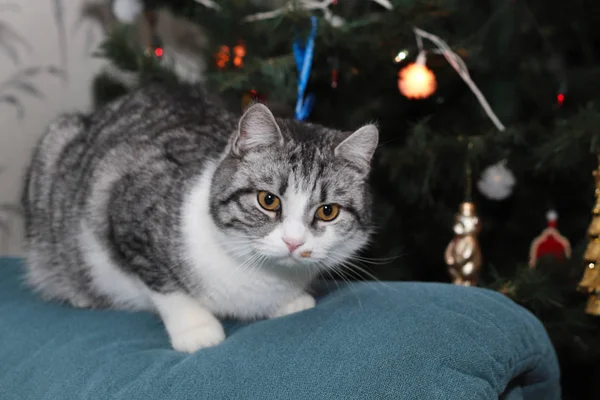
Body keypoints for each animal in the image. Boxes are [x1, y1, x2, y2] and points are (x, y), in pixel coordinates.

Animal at [22, 83, 380, 352]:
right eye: (268, 200)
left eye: (327, 211)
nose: (294, 242)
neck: (261, 276)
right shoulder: (126, 213)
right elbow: (163, 283)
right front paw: (197, 329)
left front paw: (290, 303)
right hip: (55, 149)